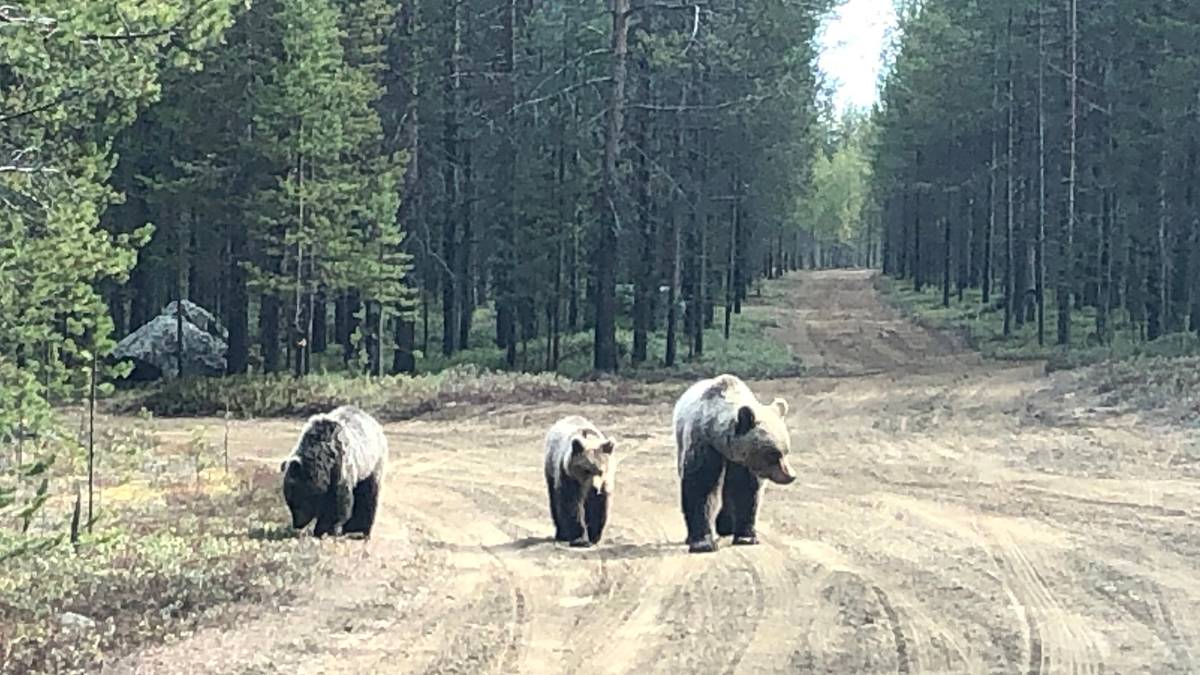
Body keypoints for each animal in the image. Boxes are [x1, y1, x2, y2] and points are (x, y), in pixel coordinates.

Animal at [547, 415, 619, 547]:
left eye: (601, 470)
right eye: (586, 470)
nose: (594, 488)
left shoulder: (604, 483)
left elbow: (598, 505)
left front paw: (594, 536)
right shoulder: (568, 477)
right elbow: (570, 504)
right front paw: (578, 537)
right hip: (551, 469)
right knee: (554, 500)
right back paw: (560, 533)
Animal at [676, 372, 796, 552]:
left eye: (786, 450)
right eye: (773, 454)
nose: (790, 475)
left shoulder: (745, 463)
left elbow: (745, 490)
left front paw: (746, 537)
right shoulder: (703, 443)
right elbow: (700, 486)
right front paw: (702, 542)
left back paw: (725, 525)